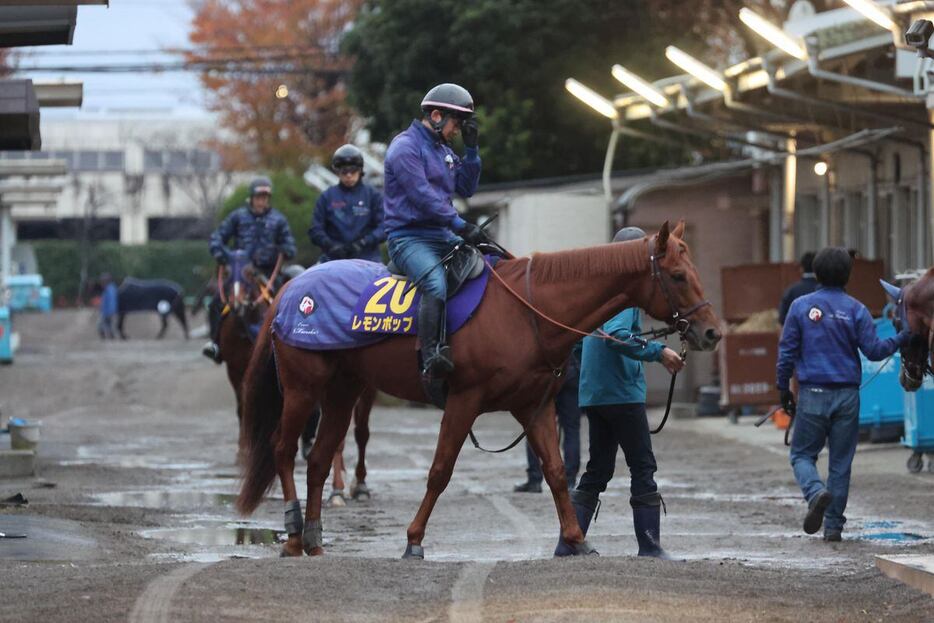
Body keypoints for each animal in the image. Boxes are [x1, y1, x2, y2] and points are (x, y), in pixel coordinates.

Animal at [236, 221, 724, 560]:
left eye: (693, 270)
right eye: (677, 275)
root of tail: (292, 289)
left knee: (319, 460)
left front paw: (575, 538)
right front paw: (413, 540)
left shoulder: (534, 406)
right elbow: (440, 471)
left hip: (343, 389)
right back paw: (293, 535)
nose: (712, 331)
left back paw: (315, 540)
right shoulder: (463, 400)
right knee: (284, 450)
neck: (527, 308)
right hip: (303, 388)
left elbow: (556, 472)